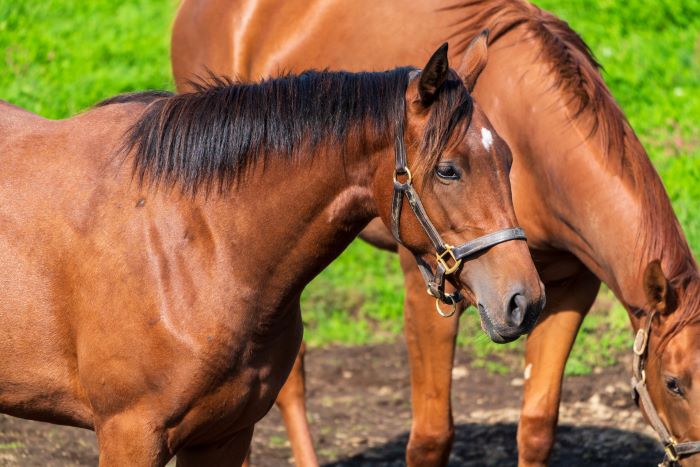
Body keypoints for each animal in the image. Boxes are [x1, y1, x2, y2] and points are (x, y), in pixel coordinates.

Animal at [0, 42, 544, 466]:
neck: (198, 244)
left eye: (508, 160)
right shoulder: (129, 435)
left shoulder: (224, 434)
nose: (525, 300)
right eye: (449, 170)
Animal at [172, 0, 700, 467]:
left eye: (509, 160)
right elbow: (430, 438)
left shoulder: (568, 289)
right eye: (673, 382)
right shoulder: (428, 290)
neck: (535, 134)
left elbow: (536, 427)